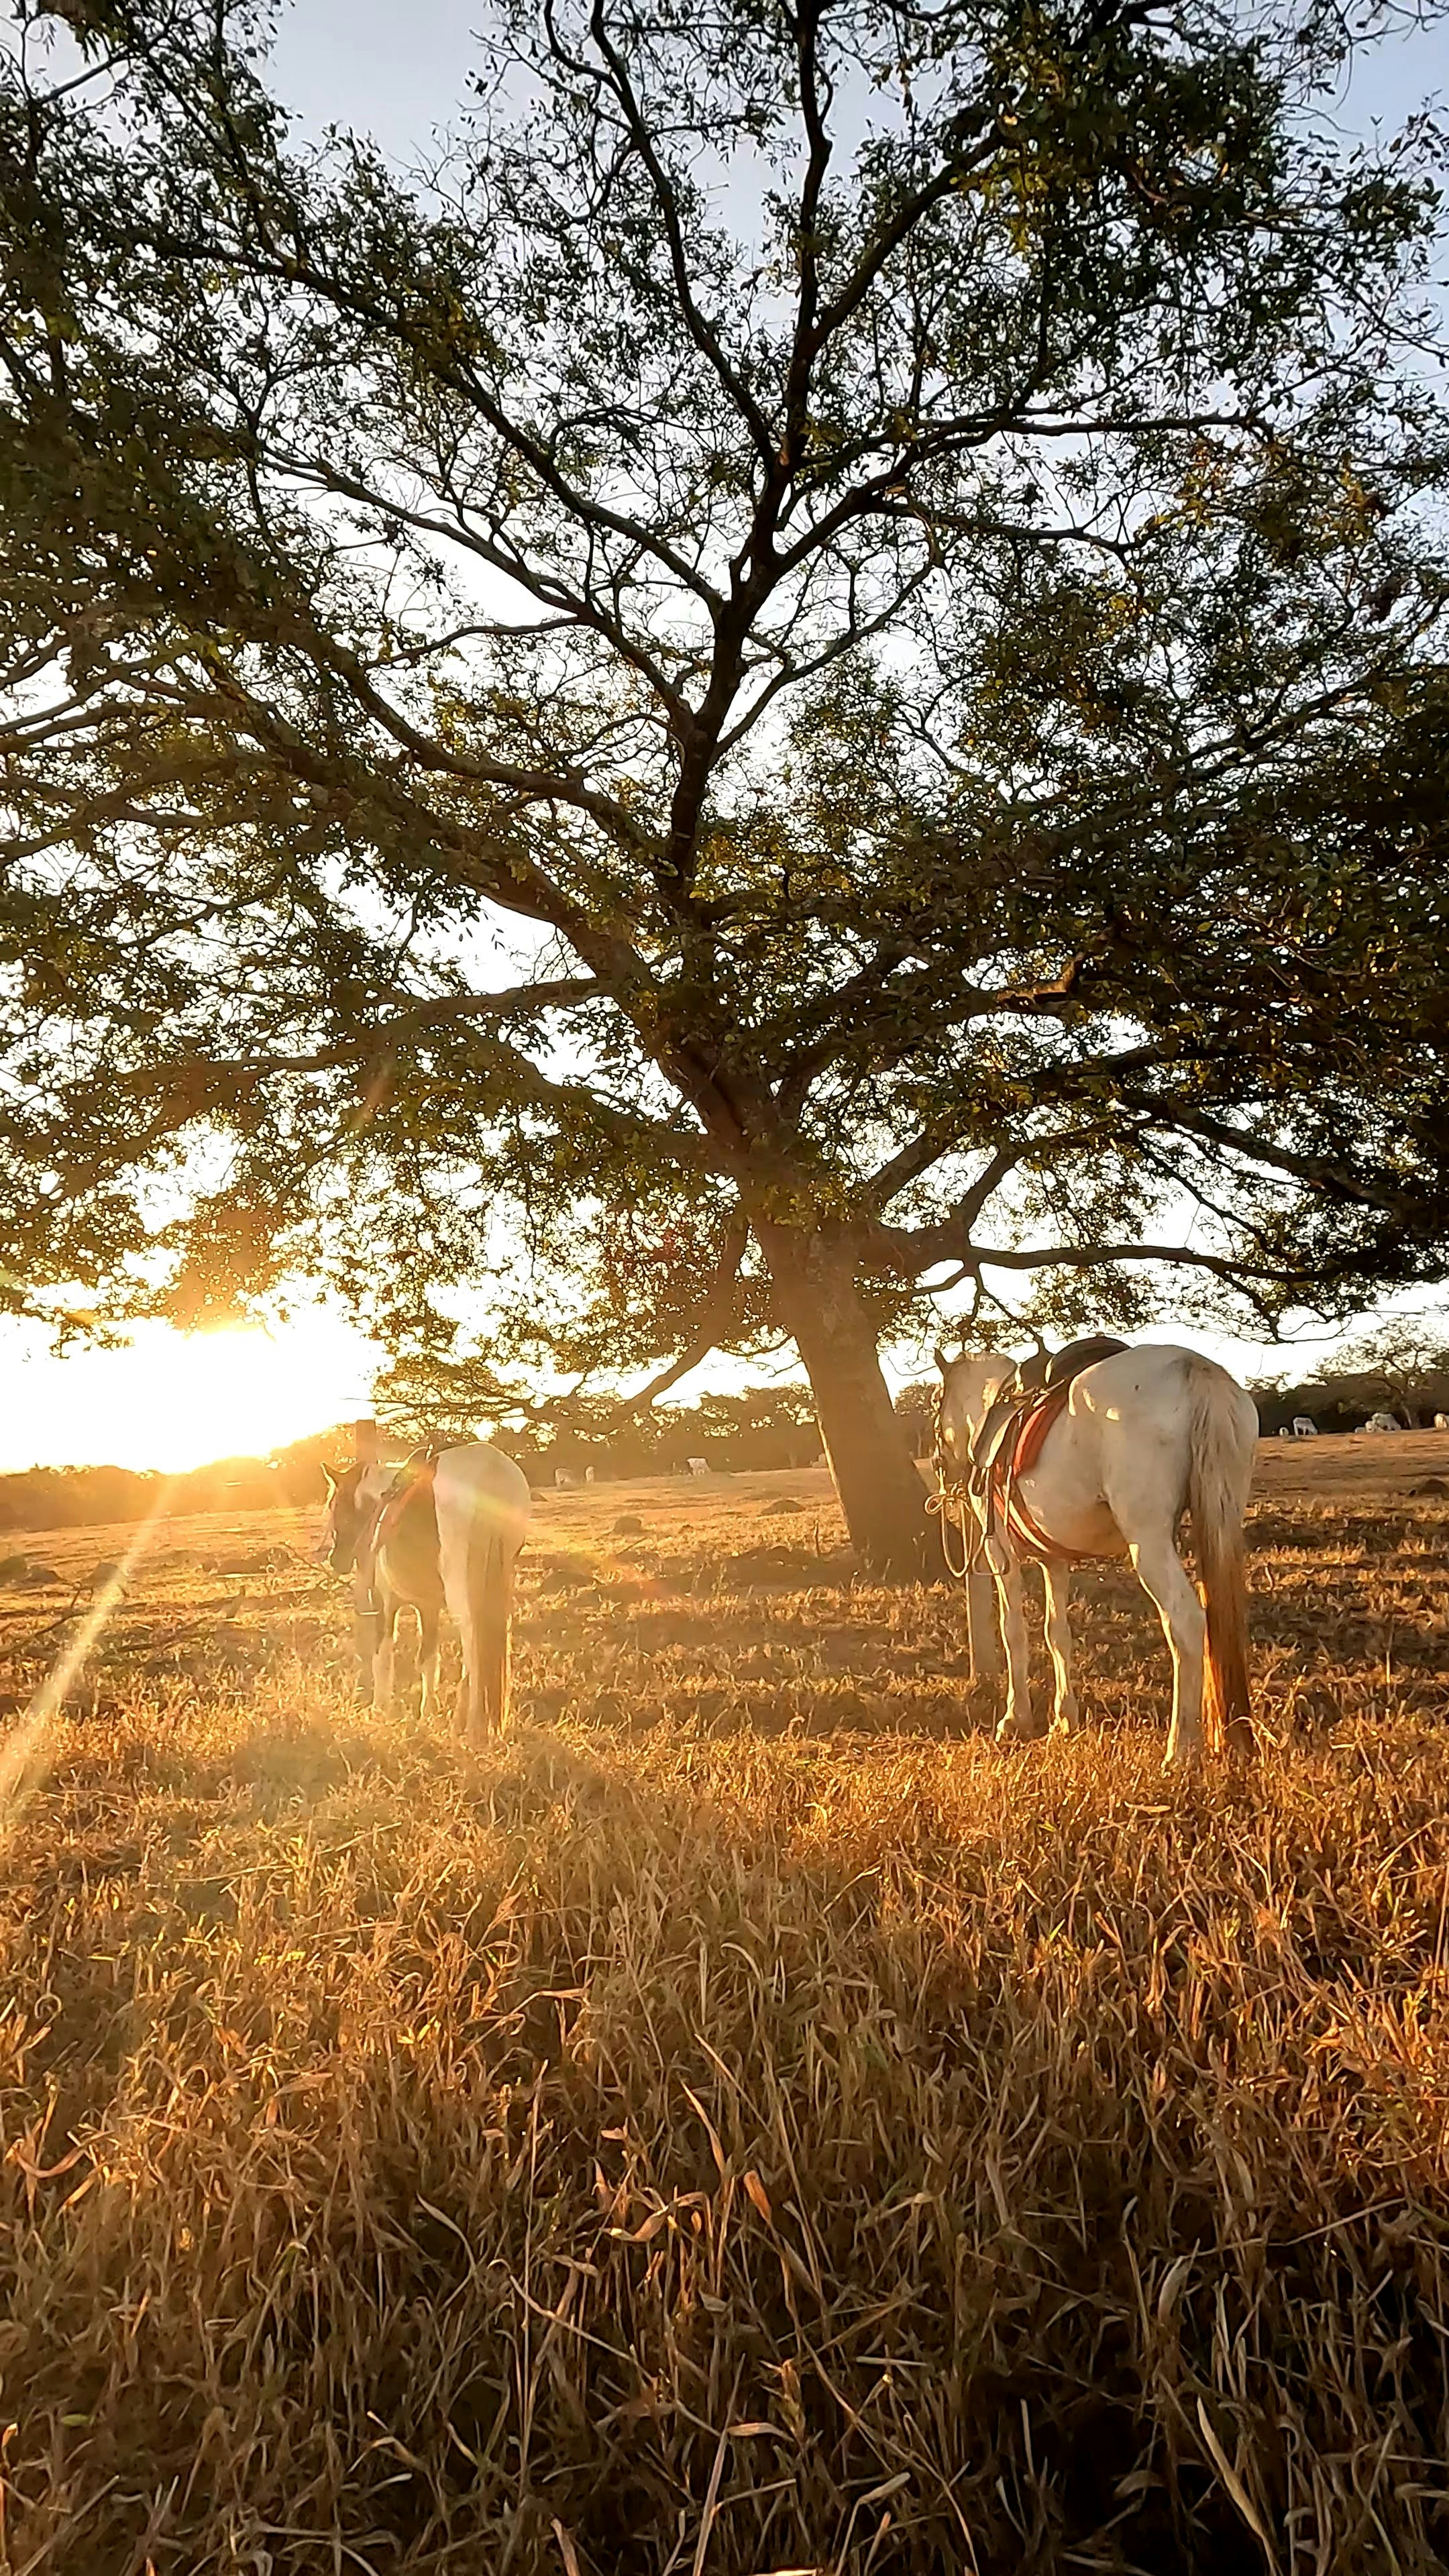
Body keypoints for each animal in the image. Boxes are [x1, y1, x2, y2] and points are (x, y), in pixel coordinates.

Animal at [322, 1442, 532, 1740]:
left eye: (336, 1505)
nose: (335, 1560)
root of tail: (492, 1471)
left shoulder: (384, 1602)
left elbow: (382, 1657)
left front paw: (380, 1711)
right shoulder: (429, 1605)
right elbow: (429, 1660)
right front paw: (428, 1714)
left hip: (462, 1590)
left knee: (473, 1646)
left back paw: (470, 1726)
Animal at [934, 1343, 1257, 1769]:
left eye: (936, 1401)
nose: (939, 1465)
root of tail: (1194, 1368)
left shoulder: (1000, 1553)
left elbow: (1012, 1631)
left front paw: (1014, 1719)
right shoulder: (1053, 1561)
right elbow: (1057, 1633)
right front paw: (1064, 1719)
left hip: (1148, 1544)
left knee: (1185, 1623)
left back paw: (1181, 1750)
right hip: (1221, 1522)